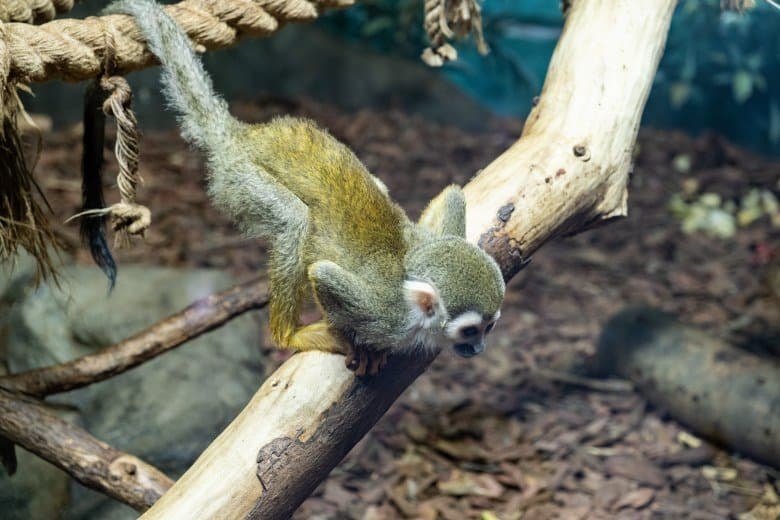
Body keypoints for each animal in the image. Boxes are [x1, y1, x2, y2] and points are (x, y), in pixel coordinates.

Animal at [108, 0, 506, 375]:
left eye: (490, 327)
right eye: (471, 330)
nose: (479, 348)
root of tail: (241, 136)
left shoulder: (429, 240)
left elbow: (453, 194)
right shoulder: (386, 314)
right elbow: (323, 275)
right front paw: (354, 340)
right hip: (239, 178)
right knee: (293, 220)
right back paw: (288, 335)